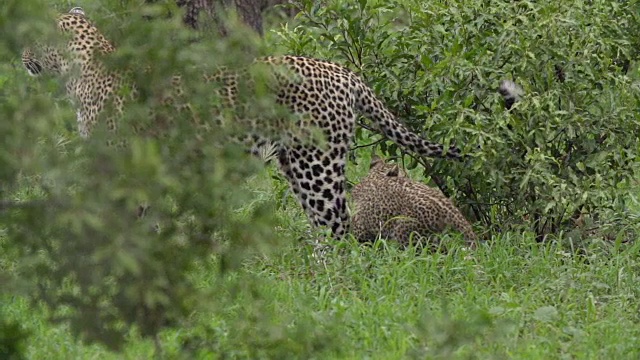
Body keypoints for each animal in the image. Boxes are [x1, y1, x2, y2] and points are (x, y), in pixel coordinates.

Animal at [22, 7, 462, 238]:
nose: (20, 55)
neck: (80, 69)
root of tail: (341, 71)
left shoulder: (122, 166)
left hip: (316, 164)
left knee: (339, 227)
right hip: (296, 165)